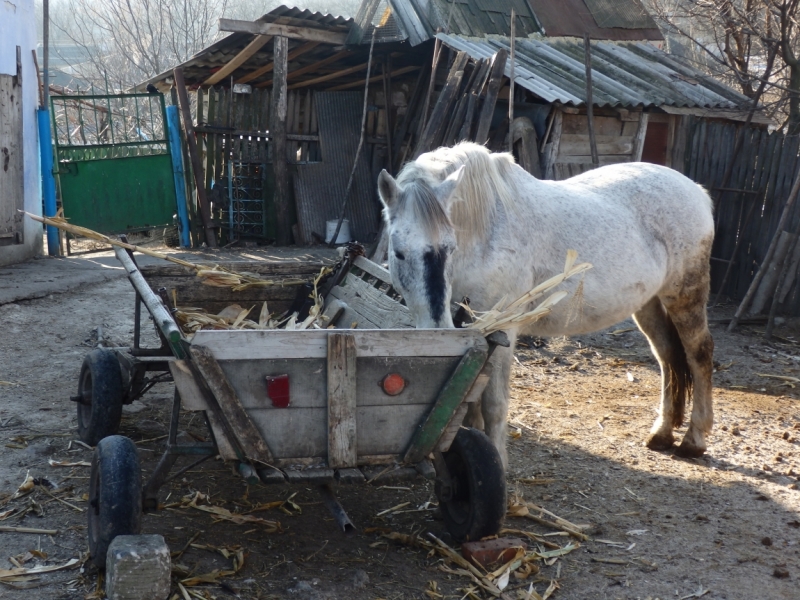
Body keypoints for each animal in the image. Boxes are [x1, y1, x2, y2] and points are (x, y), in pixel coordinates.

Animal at [378, 143, 716, 466]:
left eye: (449, 248)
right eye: (398, 252)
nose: (436, 332)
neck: (485, 232)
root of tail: (696, 190)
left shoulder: (502, 331)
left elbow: (494, 405)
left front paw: (497, 462)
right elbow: (468, 403)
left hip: (684, 295)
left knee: (698, 353)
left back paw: (694, 440)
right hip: (648, 304)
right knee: (668, 355)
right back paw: (662, 434)